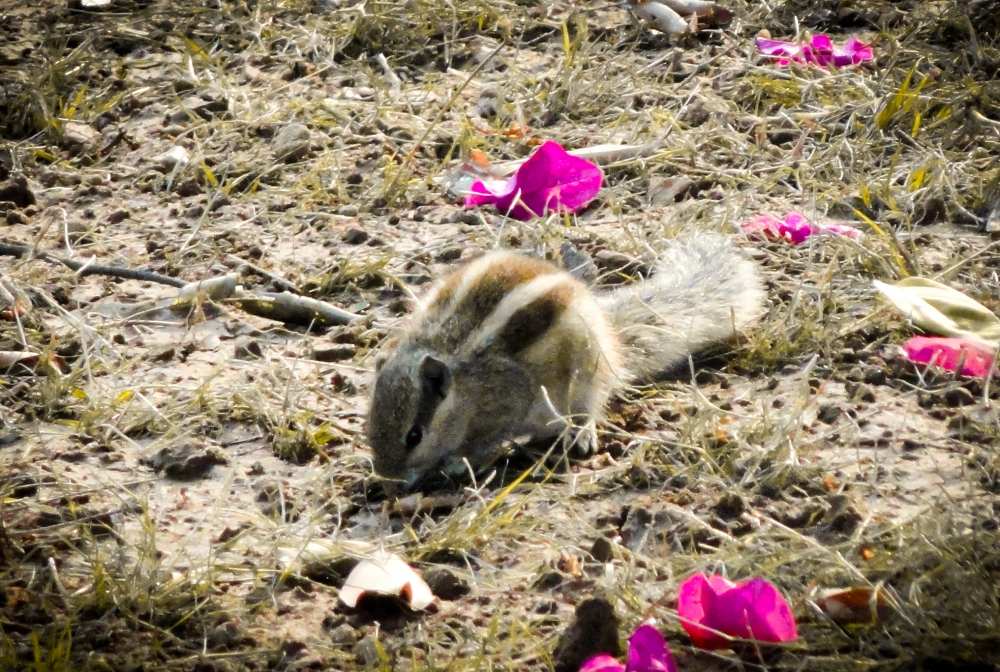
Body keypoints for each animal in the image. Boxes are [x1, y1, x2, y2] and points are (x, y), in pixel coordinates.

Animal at [367, 235, 765, 490]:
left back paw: (582, 433)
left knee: (589, 403)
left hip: (587, 367)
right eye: (370, 423)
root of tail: (609, 331)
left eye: (414, 436)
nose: (389, 484)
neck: (464, 385)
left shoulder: (508, 400)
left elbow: (487, 441)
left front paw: (459, 462)